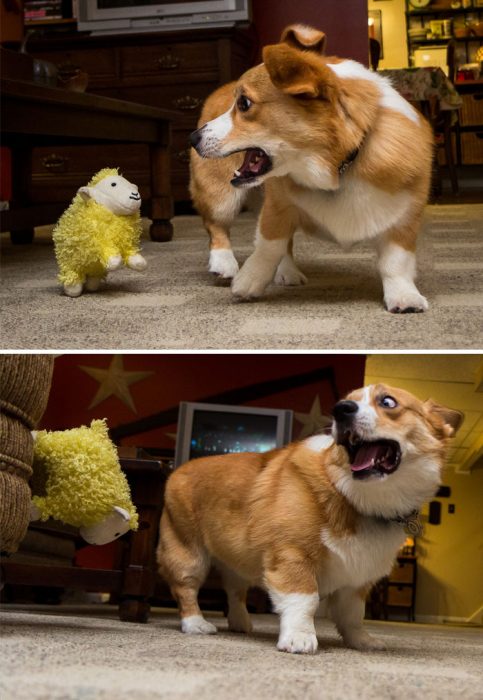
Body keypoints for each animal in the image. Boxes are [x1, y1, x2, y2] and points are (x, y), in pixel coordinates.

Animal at [157, 386, 464, 652]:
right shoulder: (293, 556)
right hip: (188, 554)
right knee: (185, 589)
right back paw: (196, 624)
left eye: (388, 401)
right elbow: (305, 600)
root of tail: (178, 469)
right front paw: (299, 638)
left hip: (237, 560)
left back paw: (241, 623)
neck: (357, 498)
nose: (341, 409)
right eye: (346, 399)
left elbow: (353, 615)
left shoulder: (357, 580)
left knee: (235, 591)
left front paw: (361, 641)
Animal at [190, 24, 434, 314]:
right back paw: (224, 263)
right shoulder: (278, 206)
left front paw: (404, 297)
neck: (338, 167)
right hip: (221, 196)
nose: (192, 138)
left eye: (244, 104)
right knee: (217, 226)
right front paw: (248, 281)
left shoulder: (405, 217)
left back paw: (287, 272)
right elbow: (269, 246)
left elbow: (396, 261)